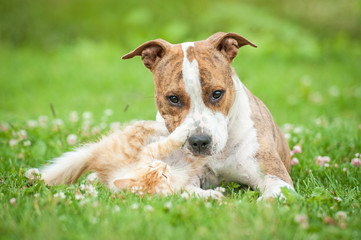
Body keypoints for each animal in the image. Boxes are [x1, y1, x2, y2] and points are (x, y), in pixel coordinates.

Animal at [40, 120, 222, 199]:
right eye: (163, 176)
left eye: (151, 166)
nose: (162, 165)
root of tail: (92, 156)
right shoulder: (185, 177)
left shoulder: (148, 153)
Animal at [122, 32, 294, 201]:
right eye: (173, 98)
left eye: (217, 94)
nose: (199, 141)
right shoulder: (182, 177)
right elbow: (189, 191)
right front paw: (210, 196)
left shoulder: (276, 176)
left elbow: (275, 195)